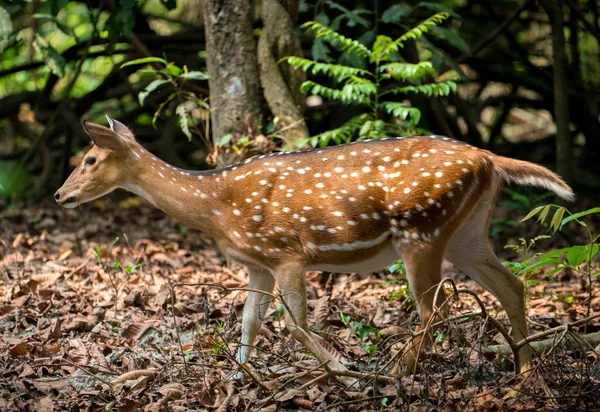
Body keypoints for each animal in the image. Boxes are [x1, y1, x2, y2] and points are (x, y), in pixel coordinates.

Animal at [55, 116, 572, 386]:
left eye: (90, 159)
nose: (60, 195)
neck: (217, 207)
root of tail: (489, 158)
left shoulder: (287, 252)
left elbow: (294, 325)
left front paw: (344, 372)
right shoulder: (258, 263)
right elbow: (249, 322)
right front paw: (238, 381)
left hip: (420, 229)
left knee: (438, 306)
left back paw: (395, 372)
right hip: (467, 233)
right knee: (512, 285)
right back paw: (525, 373)